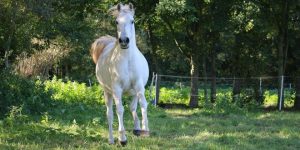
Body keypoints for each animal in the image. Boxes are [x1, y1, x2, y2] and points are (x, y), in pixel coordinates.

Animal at [89, 2, 149, 145]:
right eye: (116, 21)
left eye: (132, 21)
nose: (124, 41)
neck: (127, 60)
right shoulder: (117, 89)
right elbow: (120, 110)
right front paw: (122, 138)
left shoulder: (139, 86)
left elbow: (143, 104)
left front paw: (145, 129)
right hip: (107, 92)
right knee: (110, 114)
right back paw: (111, 139)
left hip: (132, 92)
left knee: (132, 107)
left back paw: (137, 128)